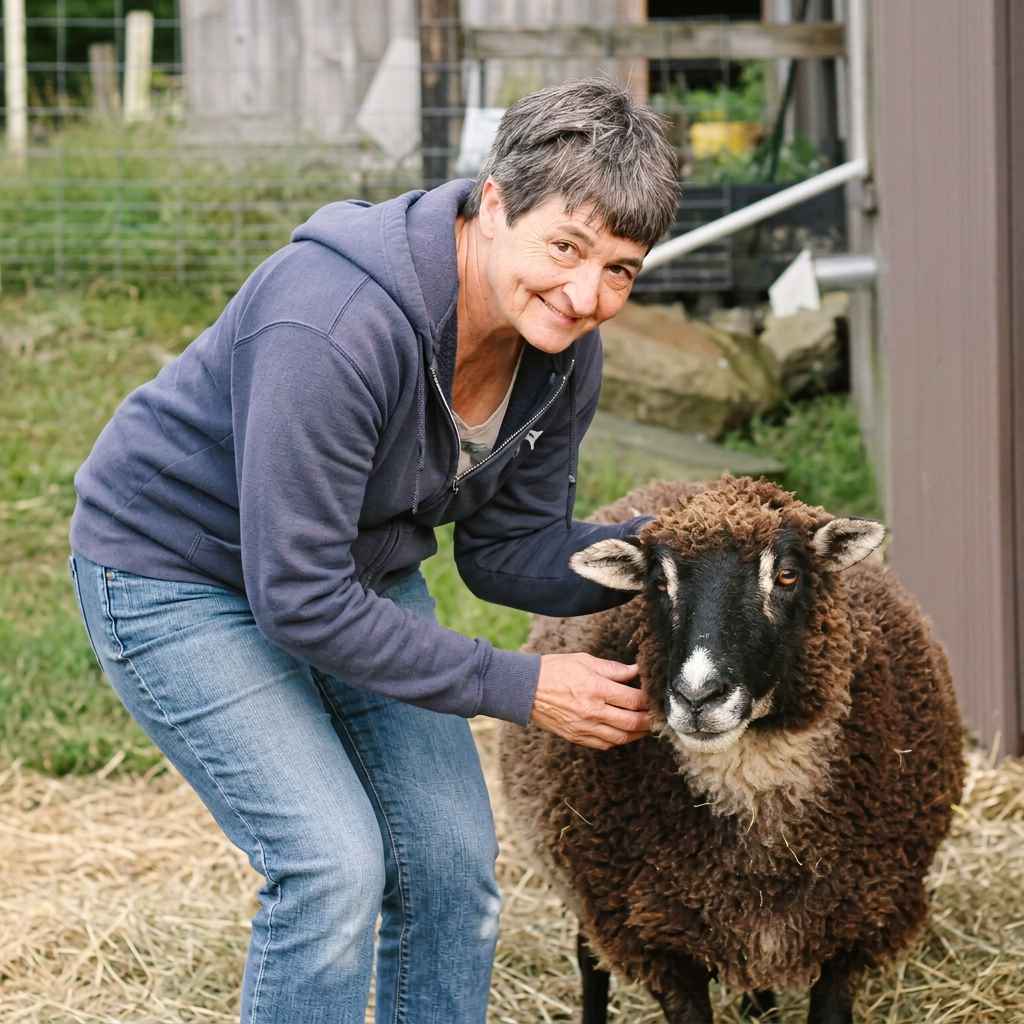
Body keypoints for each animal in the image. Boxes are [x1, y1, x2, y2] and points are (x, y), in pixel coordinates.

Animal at [500, 475, 964, 1024]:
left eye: (787, 574)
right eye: (659, 584)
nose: (698, 697)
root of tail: (665, 482)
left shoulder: (857, 922)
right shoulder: (658, 939)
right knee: (588, 956)